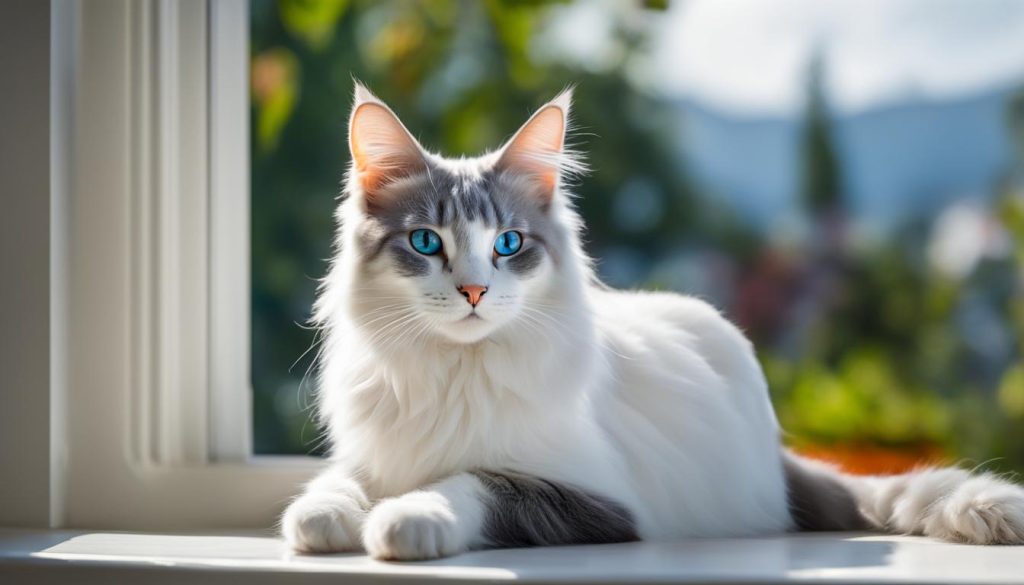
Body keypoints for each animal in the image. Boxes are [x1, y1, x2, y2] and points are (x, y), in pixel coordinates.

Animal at [280, 84, 1024, 561]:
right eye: (426, 242)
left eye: (508, 245)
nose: (472, 290)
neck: (452, 371)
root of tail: (775, 452)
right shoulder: (373, 453)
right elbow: (338, 483)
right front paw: (324, 515)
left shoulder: (588, 494)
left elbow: (469, 481)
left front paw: (406, 517)